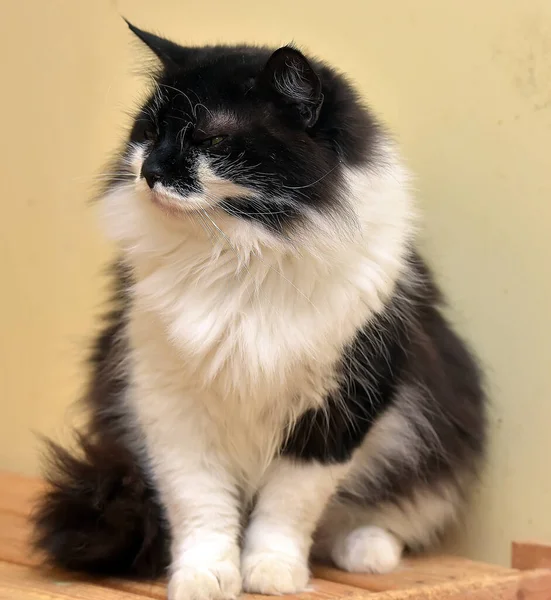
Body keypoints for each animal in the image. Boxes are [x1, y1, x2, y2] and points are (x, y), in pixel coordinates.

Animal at [33, 22, 488, 600]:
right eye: (150, 132)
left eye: (208, 140)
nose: (150, 172)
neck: (238, 256)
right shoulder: (168, 403)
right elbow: (201, 507)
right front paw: (205, 577)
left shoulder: (336, 412)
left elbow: (286, 509)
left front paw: (272, 572)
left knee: (369, 521)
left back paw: (366, 552)